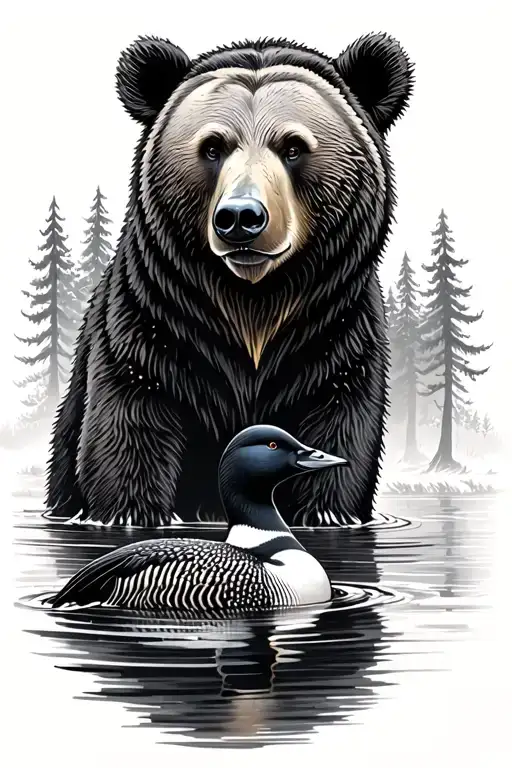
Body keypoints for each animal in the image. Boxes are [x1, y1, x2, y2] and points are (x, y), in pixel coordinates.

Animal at [45, 34, 413, 527]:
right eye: (213, 147)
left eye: (293, 147)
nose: (241, 217)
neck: (251, 306)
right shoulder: (150, 333)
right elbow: (126, 440)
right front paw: (130, 513)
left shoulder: (335, 344)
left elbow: (337, 450)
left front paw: (324, 512)